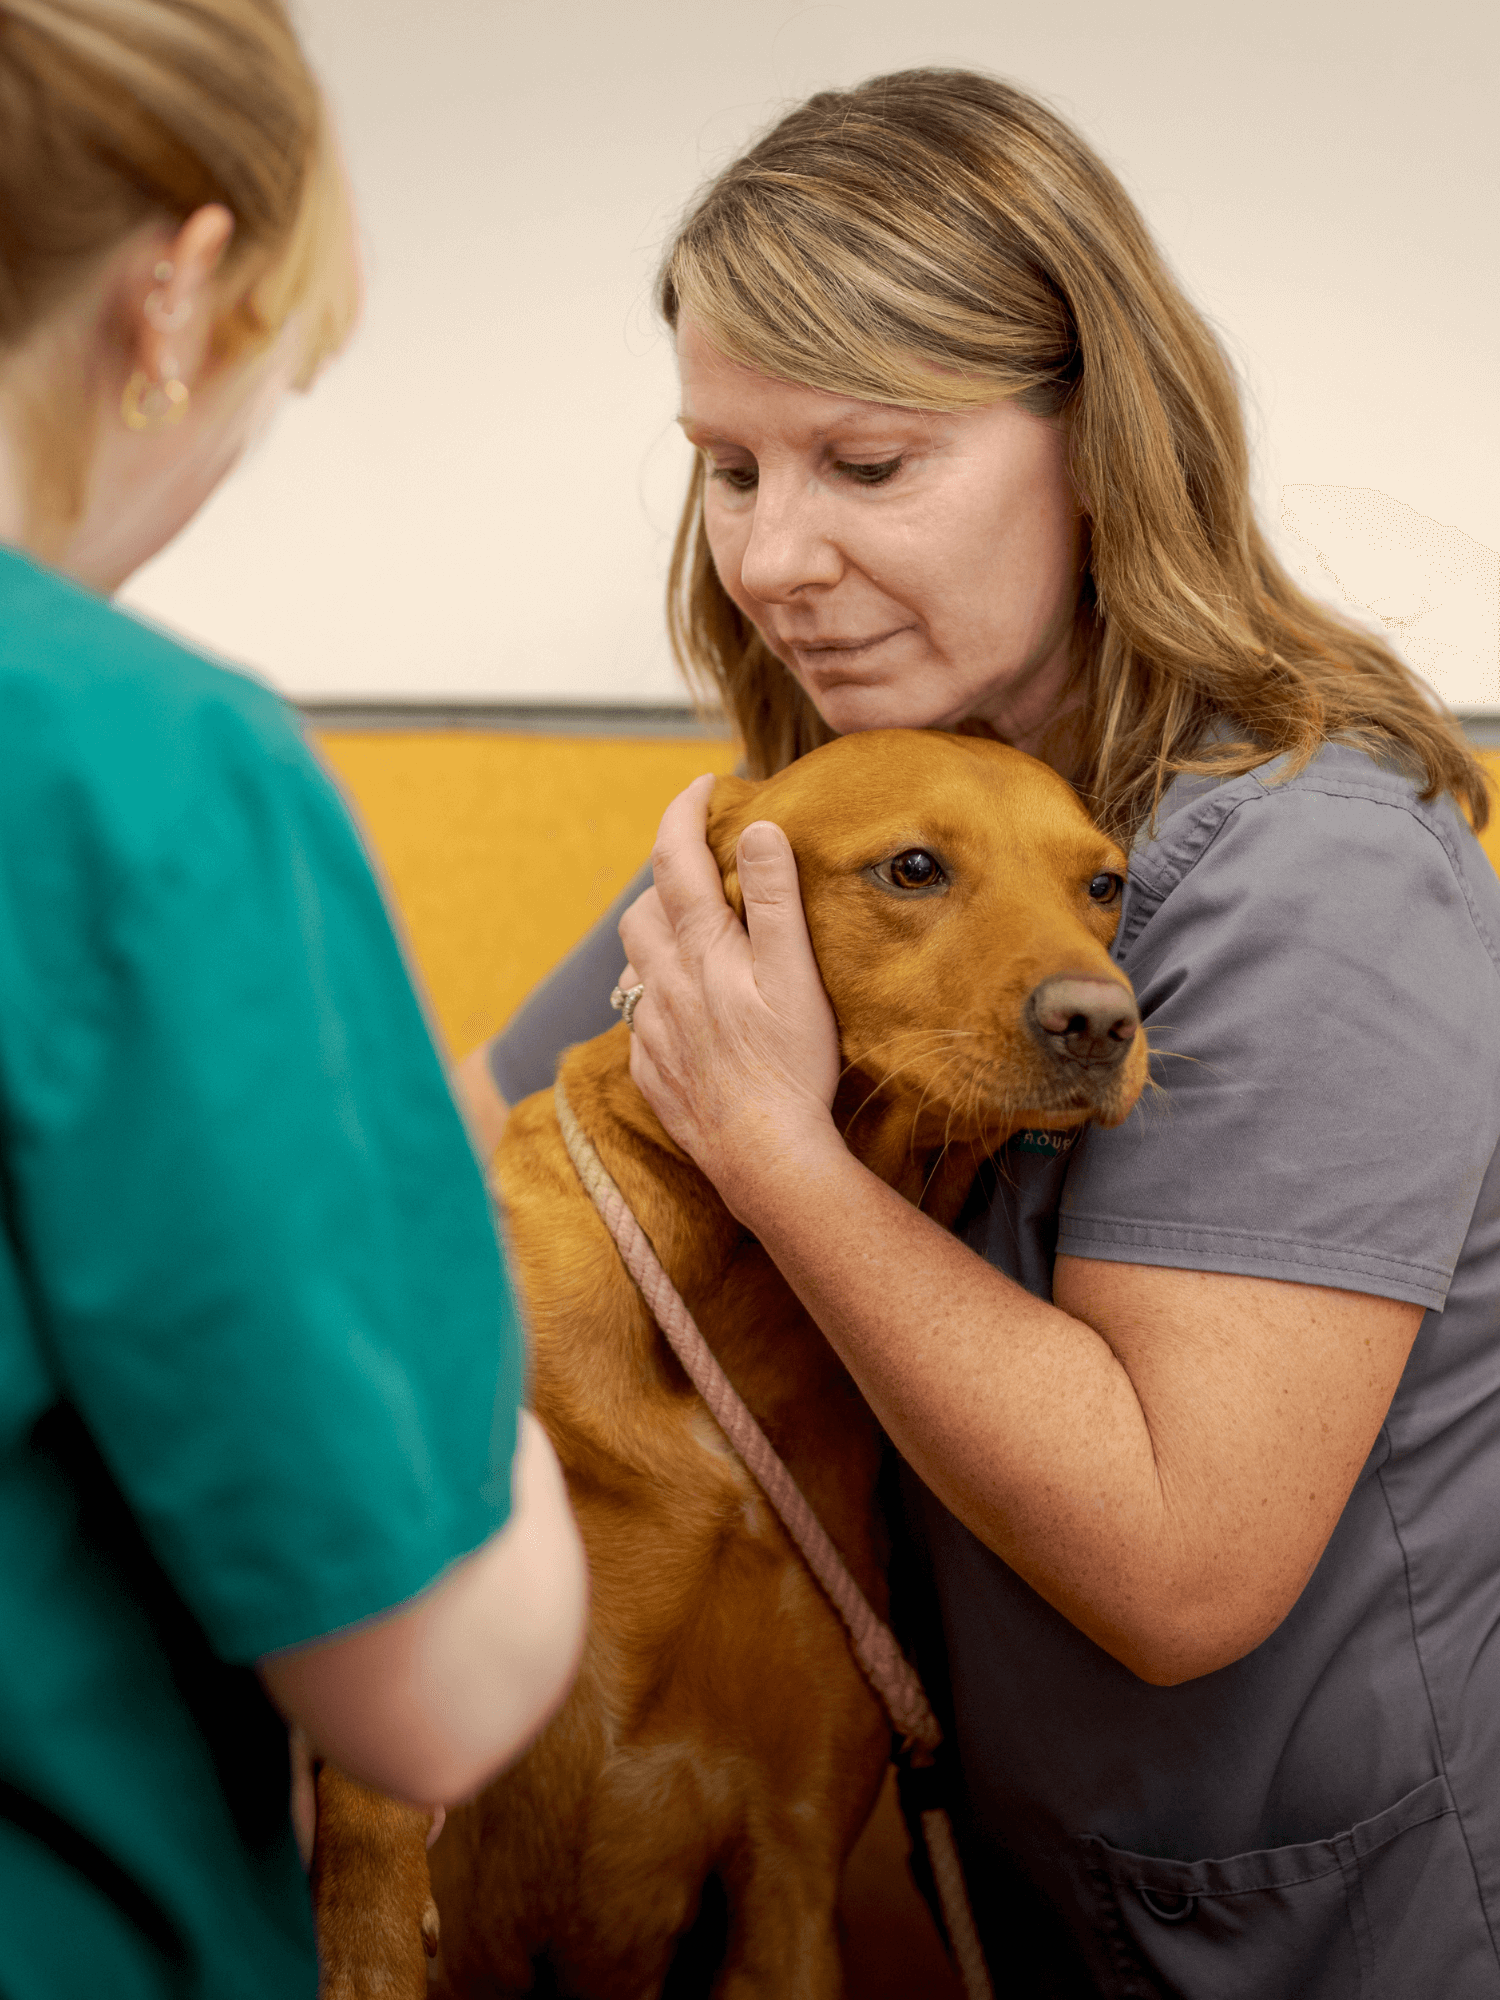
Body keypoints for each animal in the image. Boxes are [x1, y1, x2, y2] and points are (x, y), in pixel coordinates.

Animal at [314, 736, 1152, 2000]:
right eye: (914, 867)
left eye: (1103, 884)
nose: (1103, 1020)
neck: (732, 1279)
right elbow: (368, 1822)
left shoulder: (786, 1868)